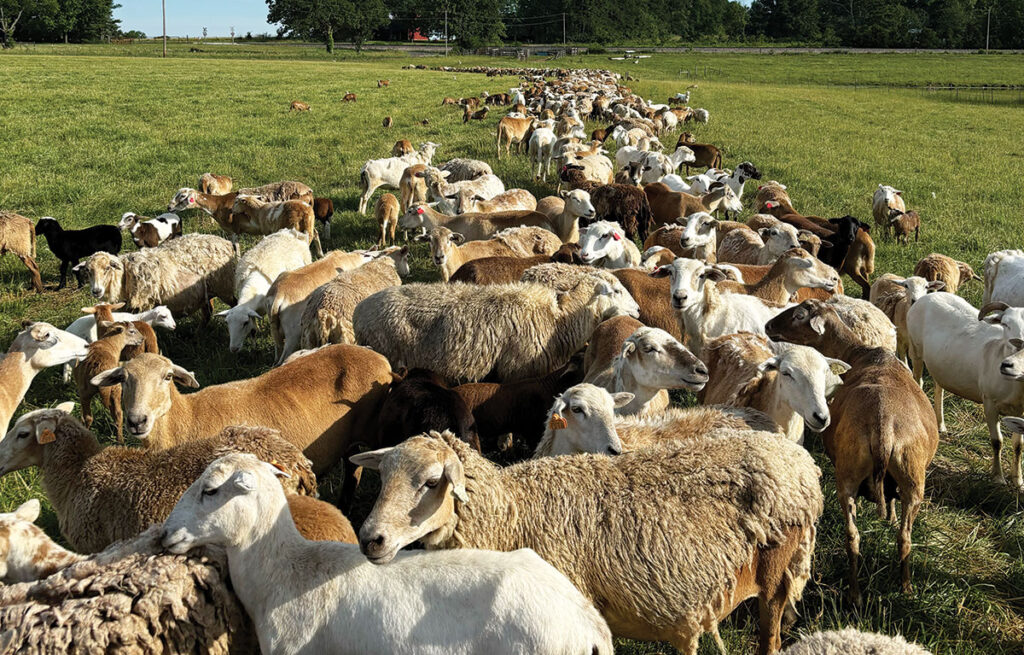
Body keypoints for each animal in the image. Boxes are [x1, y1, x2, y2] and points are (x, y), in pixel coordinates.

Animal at [74, 233, 236, 322]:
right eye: (87, 270)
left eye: (107, 268)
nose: (96, 291)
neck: (125, 277)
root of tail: (227, 243)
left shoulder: (144, 304)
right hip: (206, 291)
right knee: (208, 312)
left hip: (224, 286)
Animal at [353, 428, 821, 654]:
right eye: (382, 477)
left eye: (432, 482)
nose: (370, 539)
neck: (514, 511)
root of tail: (798, 459)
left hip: (776, 573)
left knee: (770, 637)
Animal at [767, 299, 938, 604]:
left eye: (799, 315)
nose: (767, 326)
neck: (858, 352)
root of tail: (884, 426)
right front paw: (890, 517)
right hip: (906, 479)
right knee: (891, 537)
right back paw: (893, 590)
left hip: (864, 476)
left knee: (863, 537)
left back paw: (872, 592)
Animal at [907, 295, 1024, 489]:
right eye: (1005, 324)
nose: (1017, 345)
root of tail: (928, 296)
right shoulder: (989, 403)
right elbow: (997, 442)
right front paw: (998, 477)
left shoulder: (1021, 411)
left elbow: (1018, 445)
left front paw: (1018, 480)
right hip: (915, 350)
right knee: (918, 381)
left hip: (941, 364)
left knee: (939, 386)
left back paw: (940, 424)